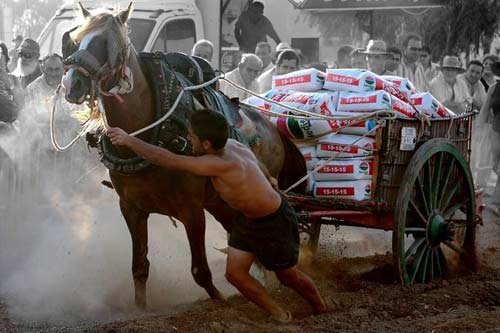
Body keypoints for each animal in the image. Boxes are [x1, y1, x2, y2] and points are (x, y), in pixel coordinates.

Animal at [61, 3, 304, 308]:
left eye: (106, 43)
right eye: (74, 40)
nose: (73, 84)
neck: (151, 132)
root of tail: (273, 128)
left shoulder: (191, 211)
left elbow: (200, 271)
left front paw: (221, 302)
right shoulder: (131, 208)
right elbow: (139, 267)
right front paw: (141, 308)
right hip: (221, 204)